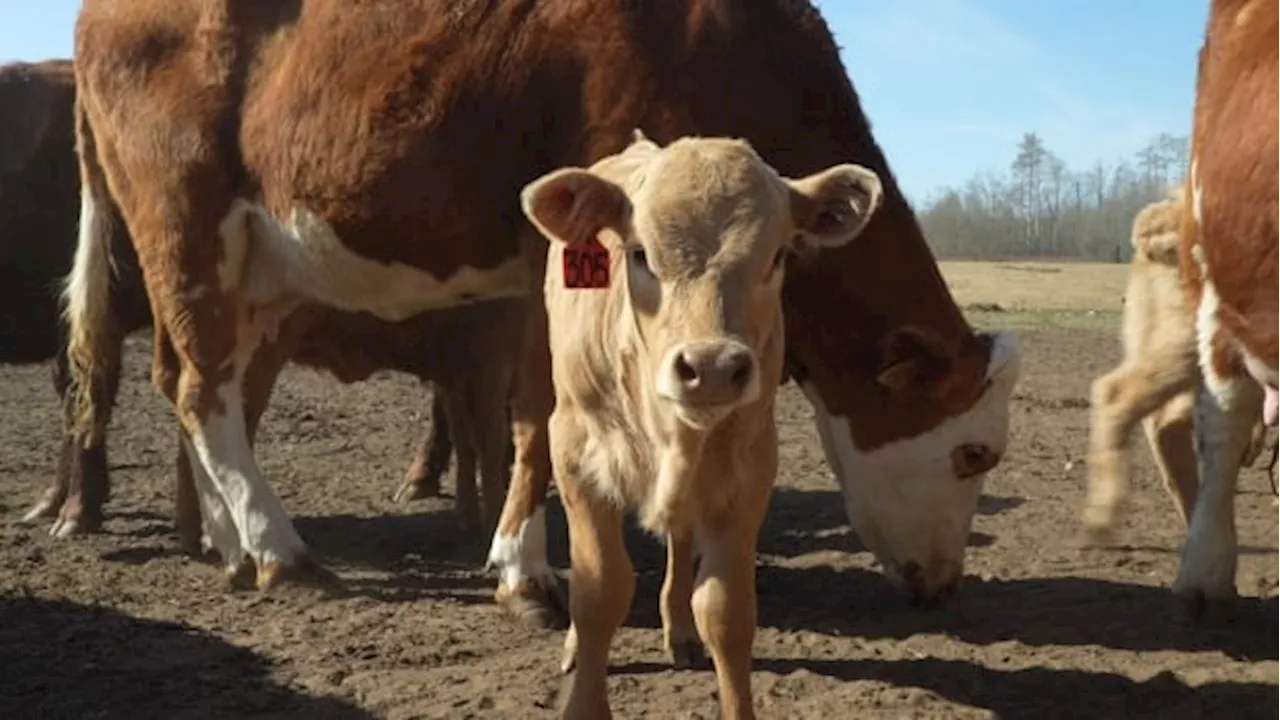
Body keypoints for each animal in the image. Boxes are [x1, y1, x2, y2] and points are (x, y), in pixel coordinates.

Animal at [70, 1, 1018, 609]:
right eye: (974, 453)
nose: (944, 586)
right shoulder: (563, 258)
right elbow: (537, 419)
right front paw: (525, 570)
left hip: (255, 267)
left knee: (200, 384)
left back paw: (231, 544)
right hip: (186, 226)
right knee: (204, 388)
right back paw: (276, 549)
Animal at [524, 133, 885, 717]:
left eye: (777, 255)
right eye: (639, 253)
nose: (712, 366)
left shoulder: (749, 468)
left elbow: (725, 611)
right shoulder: (577, 453)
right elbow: (599, 591)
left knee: (679, 539)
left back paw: (680, 630)